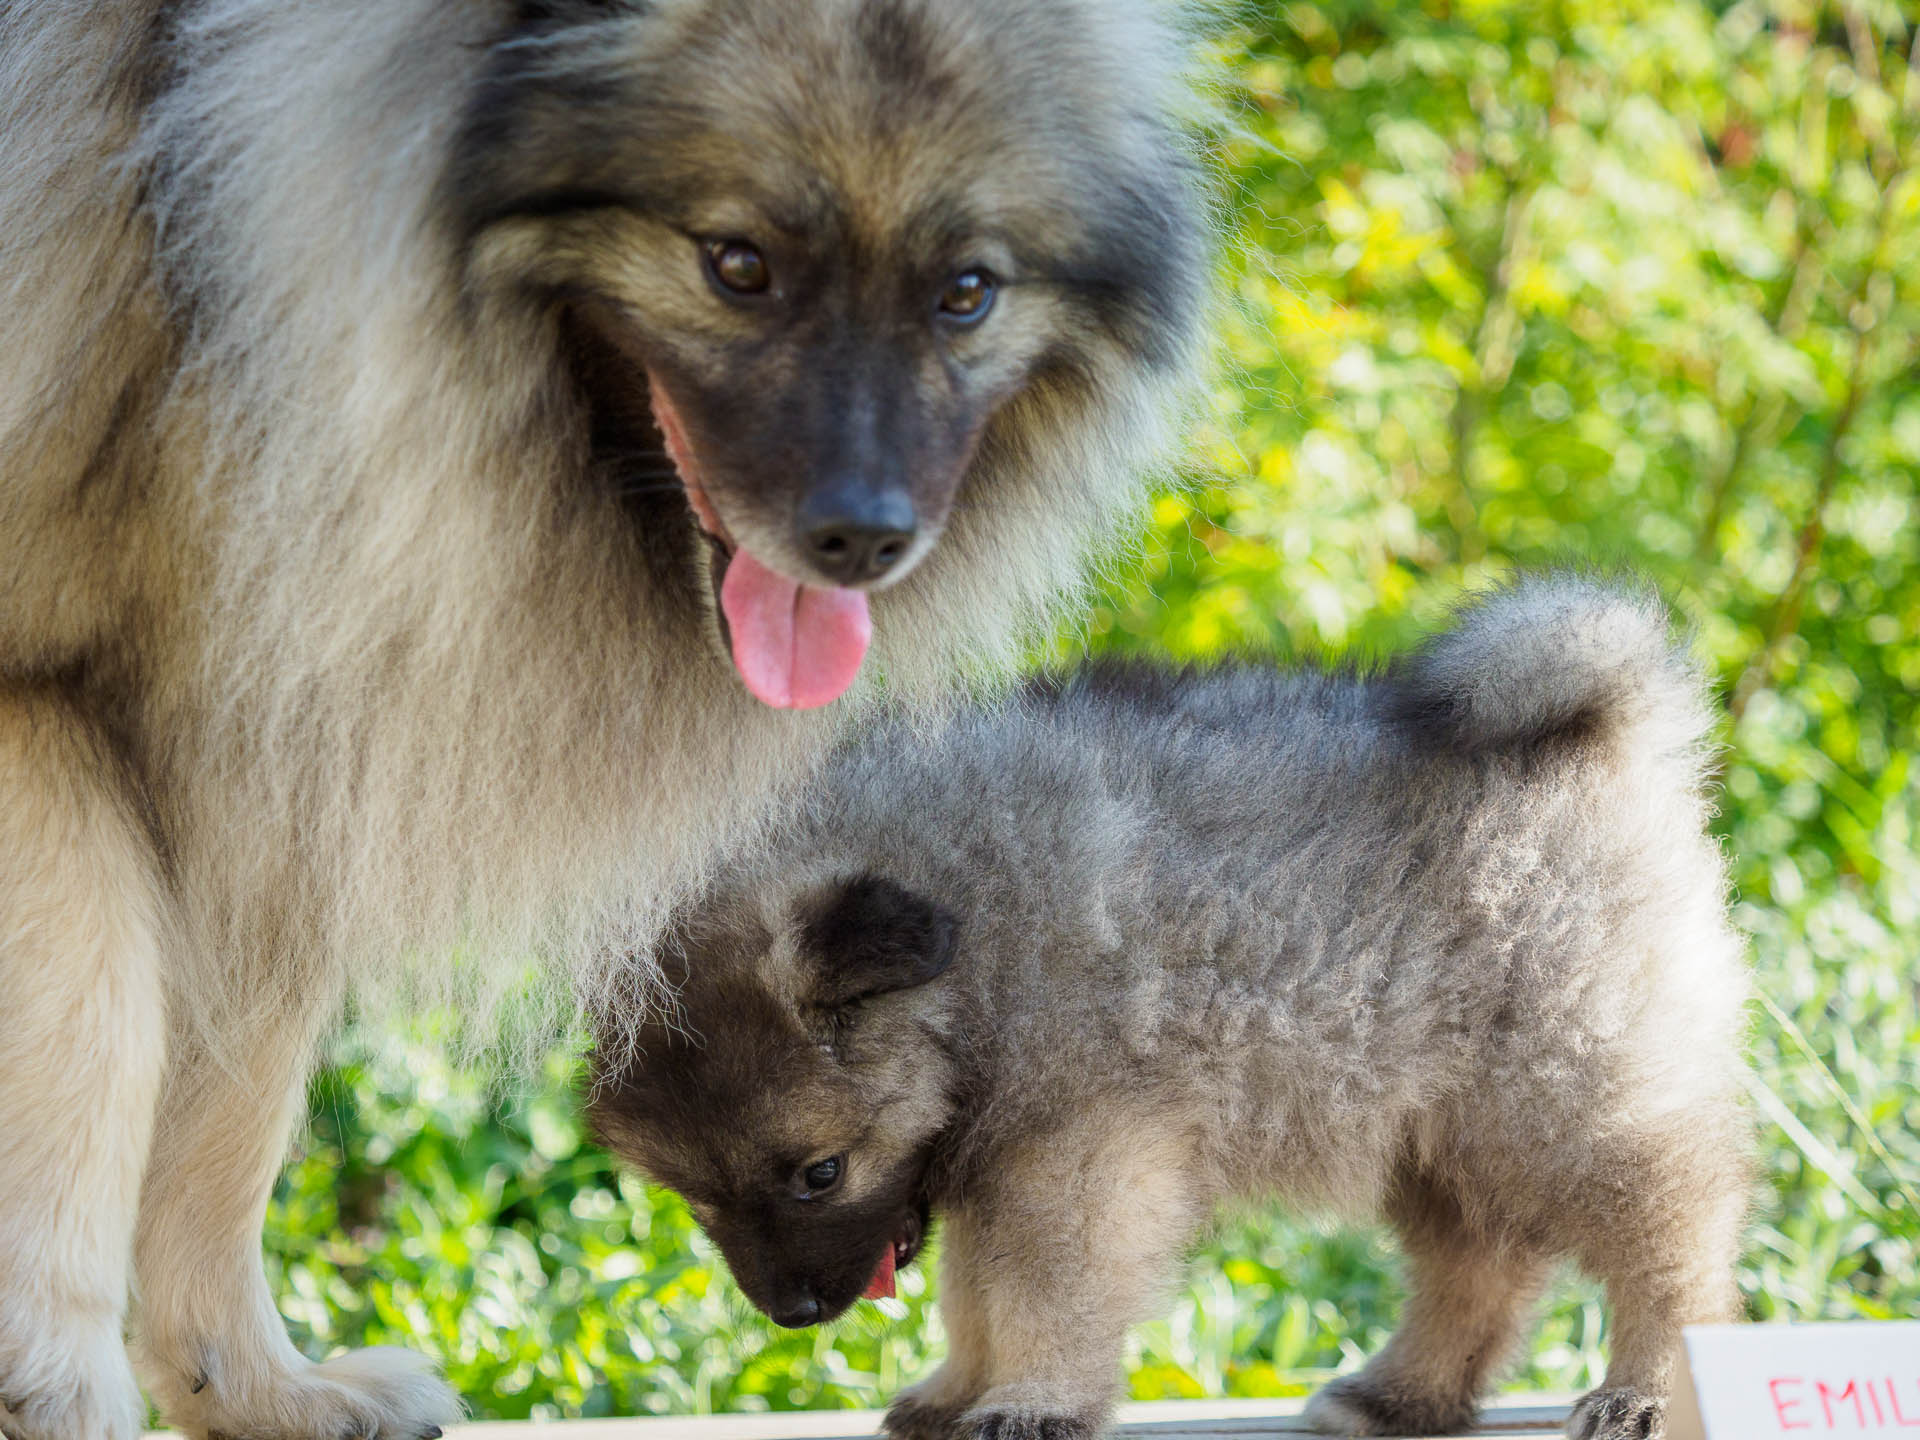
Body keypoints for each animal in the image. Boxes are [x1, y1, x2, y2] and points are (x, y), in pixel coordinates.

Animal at [0, 2, 1205, 1440]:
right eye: (737, 265)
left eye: (965, 293)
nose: (867, 538)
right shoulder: (55, 711)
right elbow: (90, 1055)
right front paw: (59, 1385)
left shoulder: (267, 732)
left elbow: (221, 1124)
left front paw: (249, 1386)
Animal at [595, 576, 1758, 1440]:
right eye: (693, 1198)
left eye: (818, 1174)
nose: (792, 1316)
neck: (974, 936)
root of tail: (1596, 735)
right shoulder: (997, 1163)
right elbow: (974, 1294)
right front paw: (960, 1387)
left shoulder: (1071, 1157)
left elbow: (1038, 1293)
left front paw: (1029, 1401)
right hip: (1433, 1120)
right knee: (1482, 1262)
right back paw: (1400, 1394)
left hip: (1565, 1095)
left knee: (1673, 1237)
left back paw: (1649, 1386)